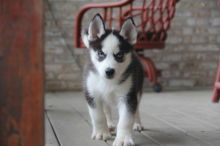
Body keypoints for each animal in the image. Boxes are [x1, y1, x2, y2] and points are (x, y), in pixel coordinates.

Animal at [81, 13, 144, 146]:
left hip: (138, 90)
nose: (109, 71)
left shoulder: (128, 97)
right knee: (106, 109)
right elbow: (98, 116)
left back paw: (137, 123)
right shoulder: (92, 94)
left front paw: (123, 139)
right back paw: (109, 124)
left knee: (136, 109)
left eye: (119, 55)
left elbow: (125, 120)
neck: (108, 82)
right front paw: (101, 133)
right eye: (100, 53)